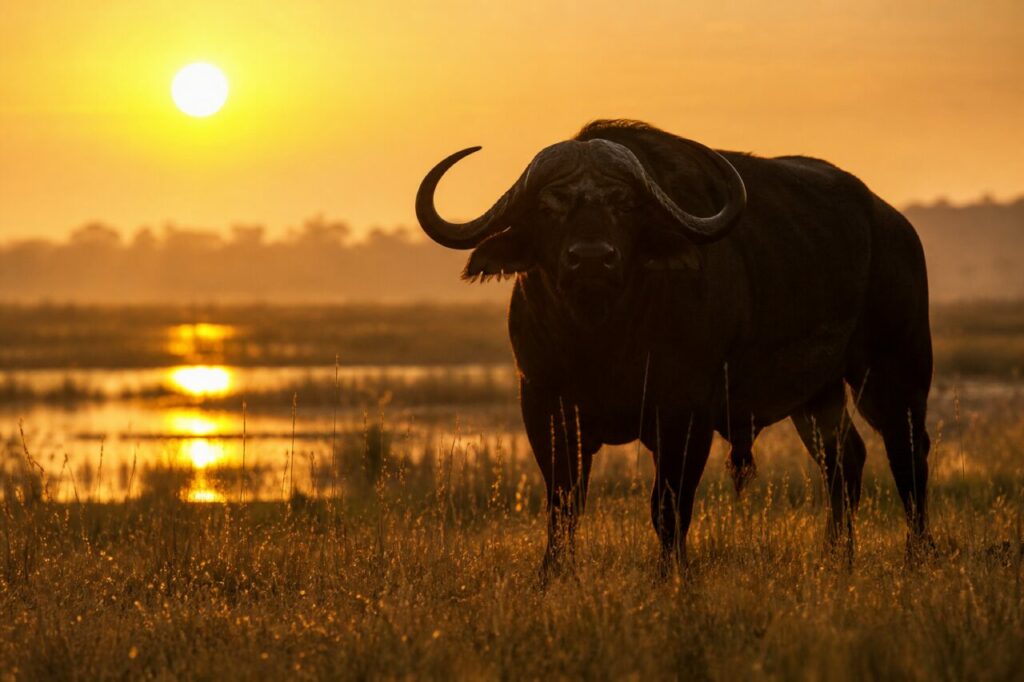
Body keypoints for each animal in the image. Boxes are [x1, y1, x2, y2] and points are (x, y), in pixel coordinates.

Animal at [415, 119, 932, 572]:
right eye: (549, 206)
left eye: (625, 205)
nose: (591, 259)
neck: (600, 339)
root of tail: (894, 225)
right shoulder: (544, 404)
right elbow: (564, 504)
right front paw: (552, 574)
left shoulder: (686, 413)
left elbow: (668, 507)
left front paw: (672, 574)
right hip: (816, 395)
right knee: (845, 461)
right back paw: (835, 556)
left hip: (896, 371)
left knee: (908, 453)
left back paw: (917, 554)